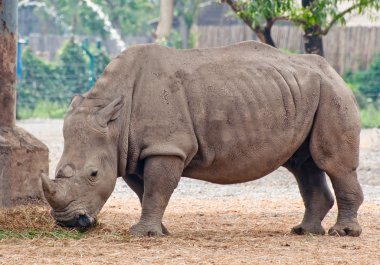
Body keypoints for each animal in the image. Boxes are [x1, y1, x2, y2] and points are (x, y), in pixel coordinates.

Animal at [40, 40, 364, 235]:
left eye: (93, 174)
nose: (70, 222)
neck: (115, 120)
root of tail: (333, 70)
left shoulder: (166, 147)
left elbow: (156, 189)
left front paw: (143, 234)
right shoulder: (130, 151)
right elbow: (144, 191)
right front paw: (159, 231)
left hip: (333, 93)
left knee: (331, 163)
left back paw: (342, 234)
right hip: (305, 92)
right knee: (303, 165)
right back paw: (303, 231)